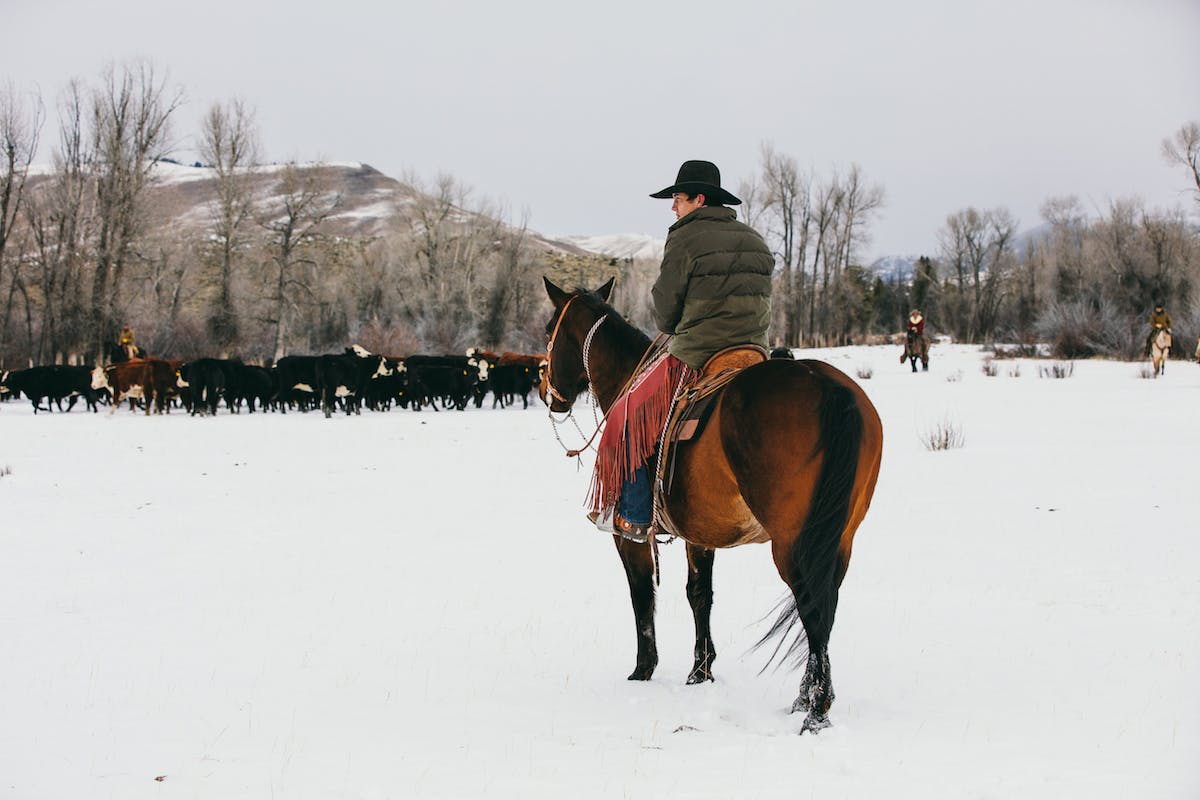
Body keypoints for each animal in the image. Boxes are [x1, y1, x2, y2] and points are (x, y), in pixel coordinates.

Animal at [542, 278, 883, 734]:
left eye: (549, 329)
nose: (546, 392)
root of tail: (830, 388)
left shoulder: (628, 536)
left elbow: (641, 594)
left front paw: (643, 670)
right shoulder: (699, 534)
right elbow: (699, 595)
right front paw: (700, 672)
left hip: (792, 544)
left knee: (813, 606)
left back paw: (815, 710)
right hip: (839, 538)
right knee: (825, 607)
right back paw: (805, 699)